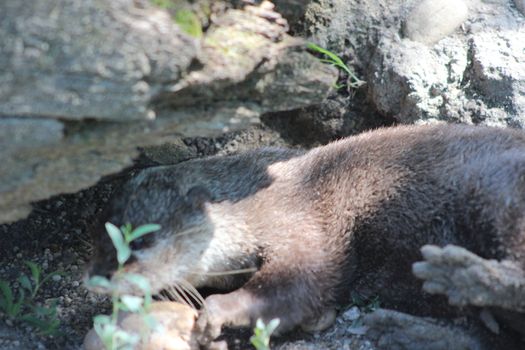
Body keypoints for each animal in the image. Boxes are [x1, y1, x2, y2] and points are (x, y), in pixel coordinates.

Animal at [88, 123, 524, 348]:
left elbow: (300, 282)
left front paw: (215, 313)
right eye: (100, 241)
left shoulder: (303, 225)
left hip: (496, 193)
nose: (97, 280)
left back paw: (455, 274)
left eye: (140, 242)